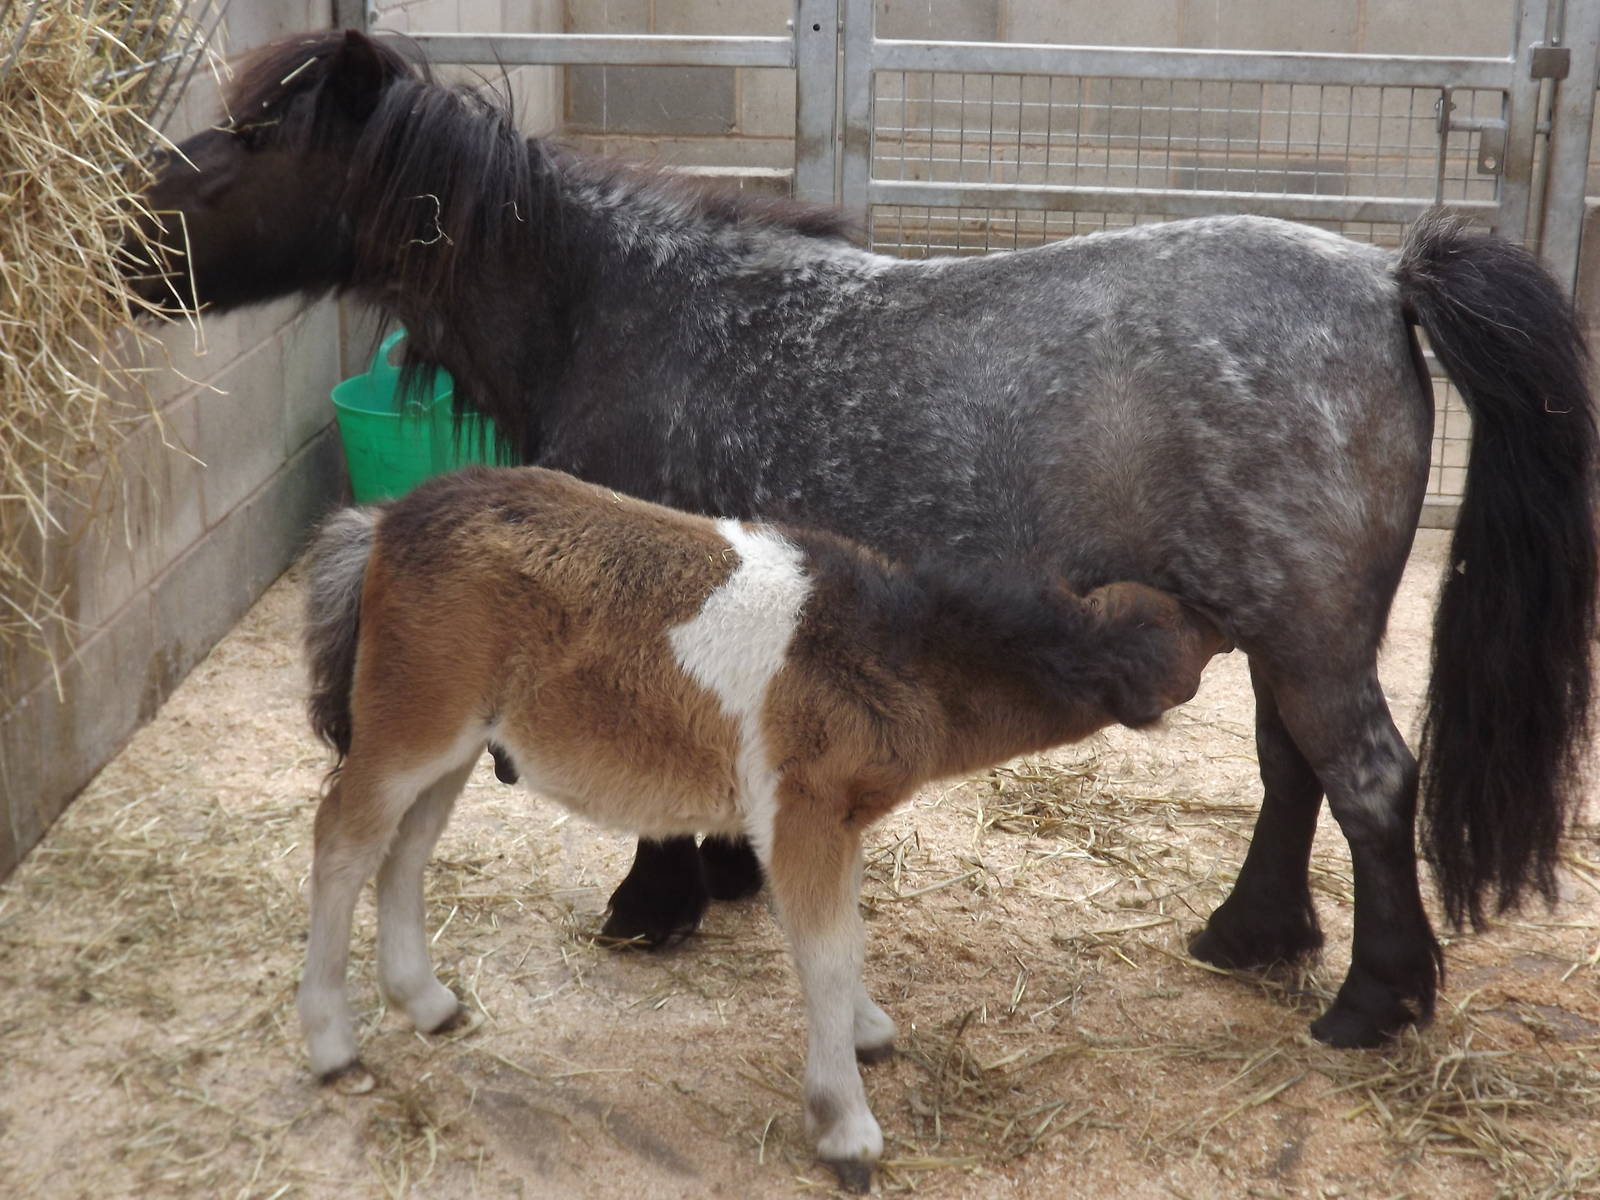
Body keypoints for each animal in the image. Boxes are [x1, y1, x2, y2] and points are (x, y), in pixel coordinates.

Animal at [128, 29, 1598, 1054]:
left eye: (257, 132)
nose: (123, 238)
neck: (615, 308)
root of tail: (1384, 278)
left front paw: (655, 902)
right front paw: (718, 876)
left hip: (1307, 634)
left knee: (1368, 783)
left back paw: (1372, 1004)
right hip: (1277, 631)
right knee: (1294, 776)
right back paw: (1248, 937)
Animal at [299, 464, 1226, 1189]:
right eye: (1190, 633)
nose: (1234, 624)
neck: (891, 648)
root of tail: (386, 520)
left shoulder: (834, 819)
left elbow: (842, 932)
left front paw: (865, 1032)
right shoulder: (802, 811)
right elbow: (826, 948)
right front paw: (845, 1127)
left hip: (452, 743)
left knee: (406, 851)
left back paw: (425, 1002)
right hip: (412, 727)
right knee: (344, 841)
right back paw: (333, 1044)